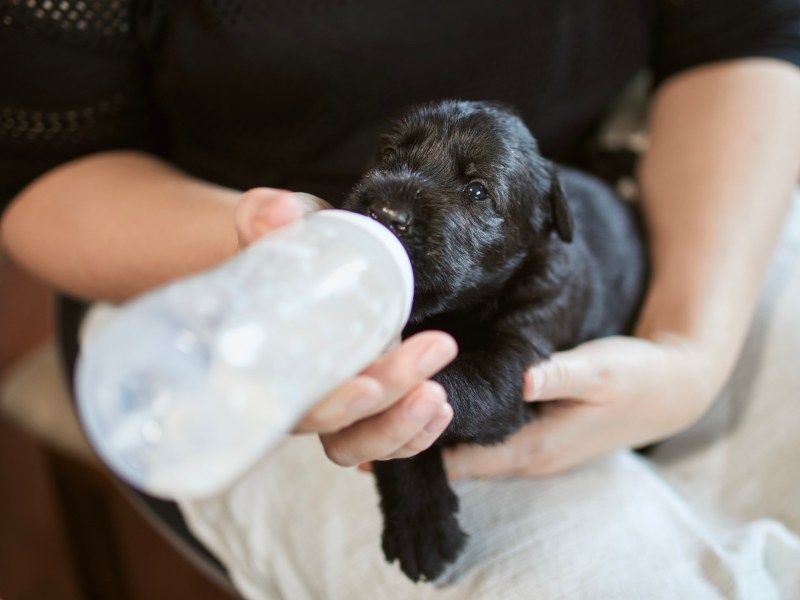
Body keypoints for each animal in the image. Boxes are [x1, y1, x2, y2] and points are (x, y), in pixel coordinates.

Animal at [340, 101, 648, 584]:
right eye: (387, 155)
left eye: (478, 190)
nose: (385, 213)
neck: (462, 309)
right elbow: (407, 445)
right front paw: (419, 519)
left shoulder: (515, 358)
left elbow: (445, 388)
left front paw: (421, 526)